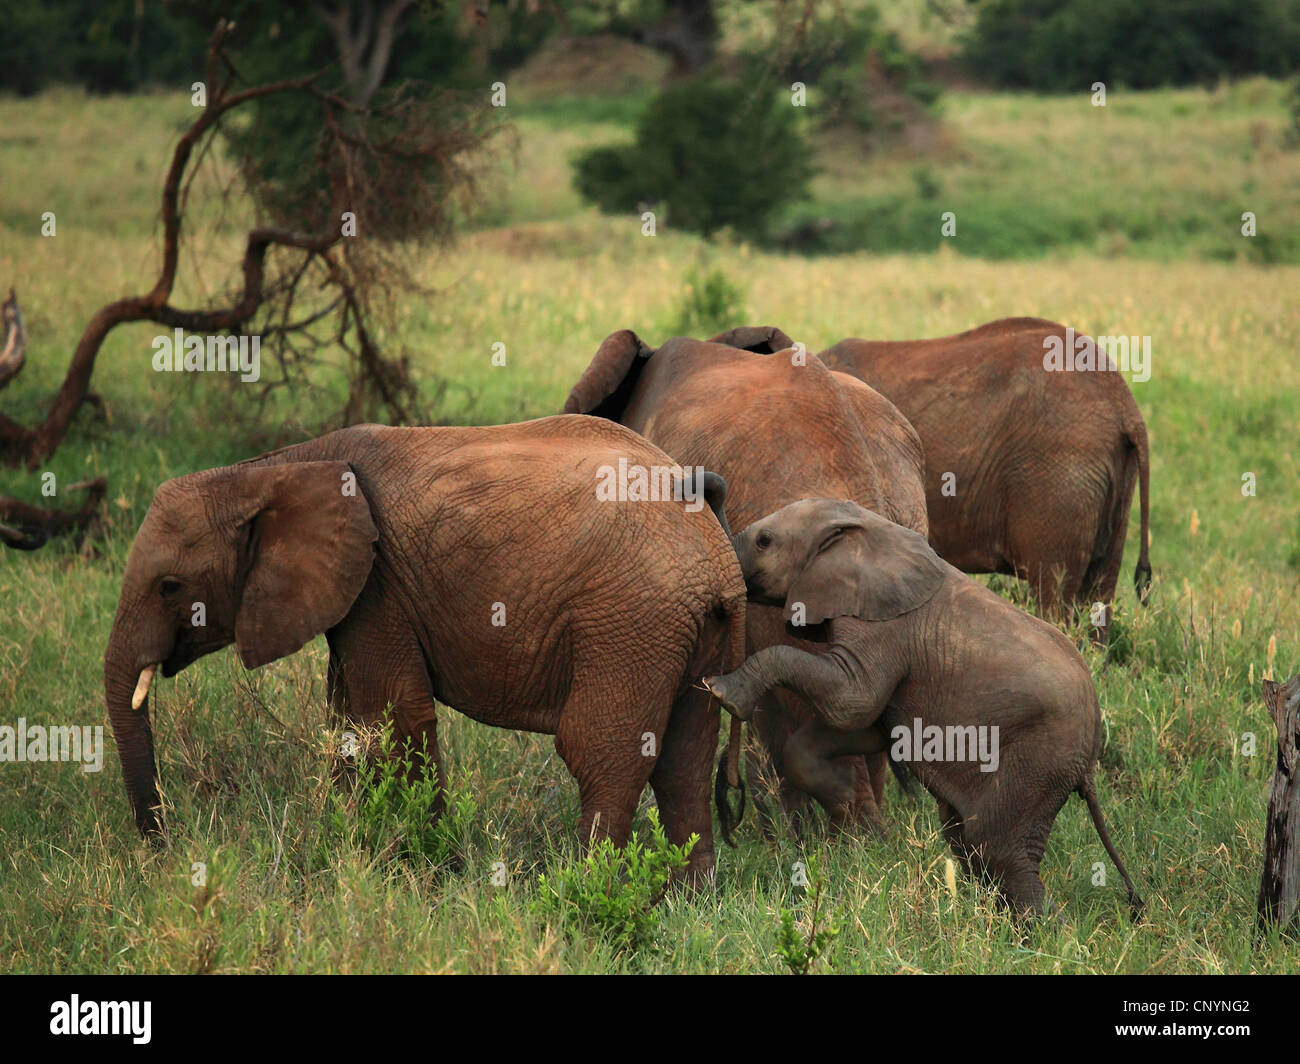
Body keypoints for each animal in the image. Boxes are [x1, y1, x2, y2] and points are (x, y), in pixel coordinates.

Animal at [105, 413, 748, 868]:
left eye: (169, 586)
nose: (163, 849)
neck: (273, 469)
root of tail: (716, 551)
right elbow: (350, 722)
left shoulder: (378, 585)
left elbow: (394, 717)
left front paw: (428, 869)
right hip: (687, 629)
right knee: (685, 758)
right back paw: (687, 905)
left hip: (629, 622)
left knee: (601, 754)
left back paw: (587, 893)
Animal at [707, 494, 1144, 915]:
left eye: (765, 541)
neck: (863, 529)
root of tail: (1088, 761)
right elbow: (859, 726)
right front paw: (849, 808)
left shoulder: (885, 632)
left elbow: (852, 702)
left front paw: (720, 691)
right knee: (965, 837)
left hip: (1040, 759)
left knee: (996, 845)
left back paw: (1038, 932)